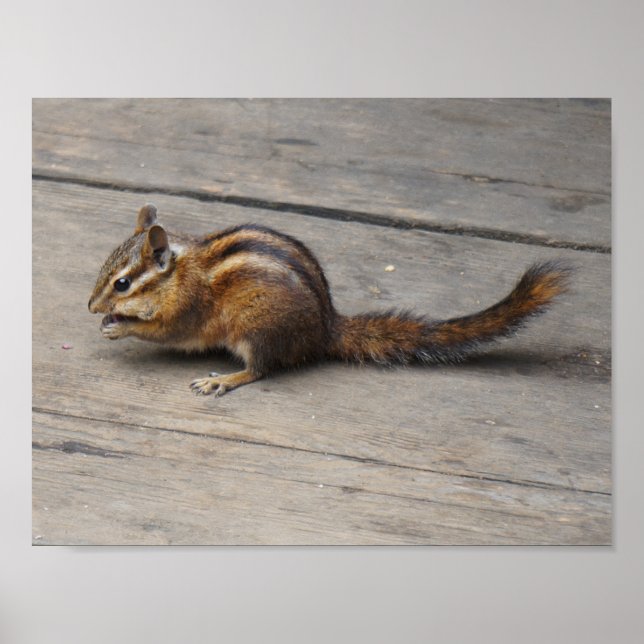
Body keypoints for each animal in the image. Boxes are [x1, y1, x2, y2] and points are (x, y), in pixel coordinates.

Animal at [88, 204, 571, 396]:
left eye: (122, 283)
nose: (91, 306)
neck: (181, 272)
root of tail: (324, 329)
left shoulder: (186, 310)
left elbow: (167, 331)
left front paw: (120, 326)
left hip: (257, 329)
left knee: (261, 369)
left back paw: (224, 379)